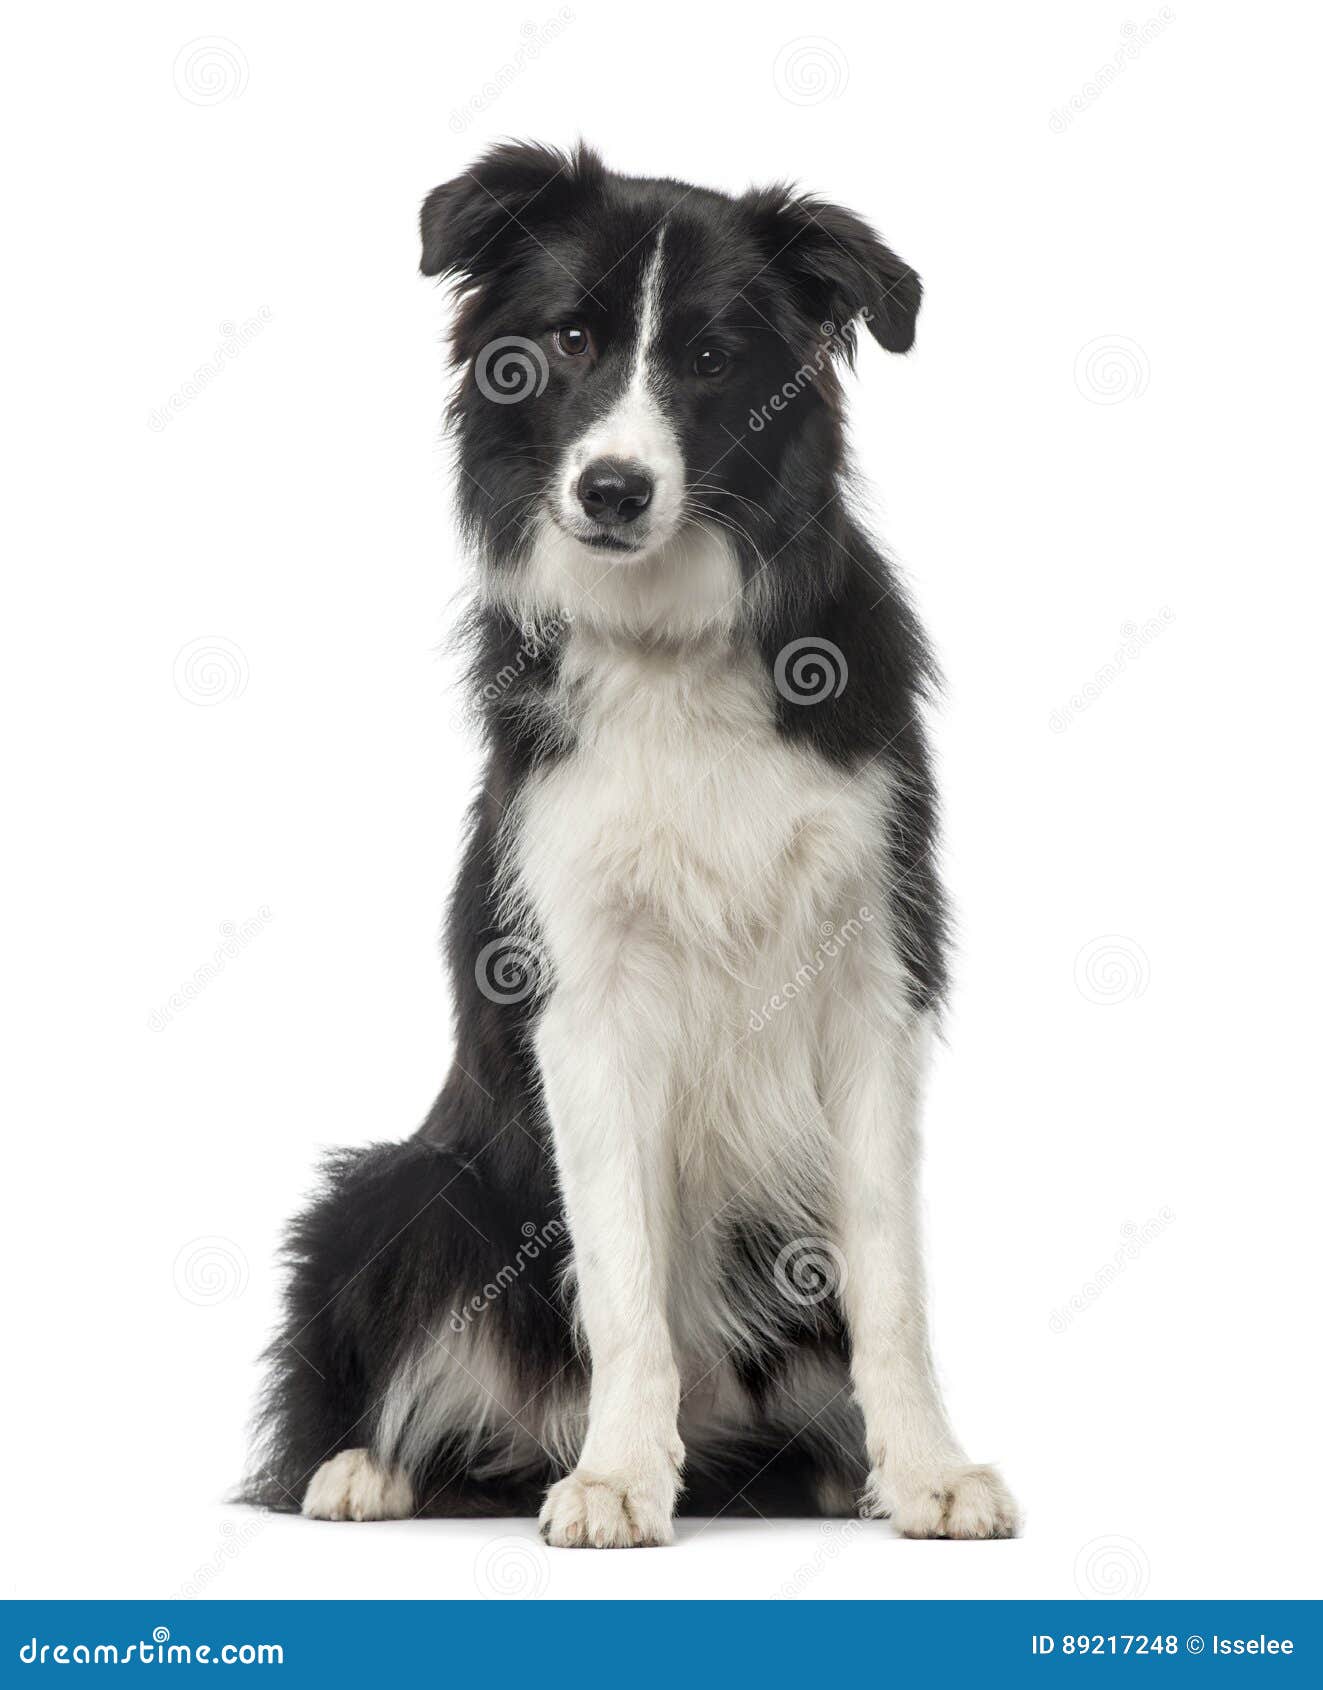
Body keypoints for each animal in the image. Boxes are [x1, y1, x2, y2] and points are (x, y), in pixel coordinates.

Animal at [239, 141, 1027, 1548]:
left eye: (712, 358)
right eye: (564, 341)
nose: (613, 489)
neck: (669, 649)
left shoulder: (870, 973)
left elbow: (890, 1272)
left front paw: (930, 1468)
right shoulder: (583, 994)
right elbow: (622, 1273)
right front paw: (614, 1474)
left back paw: (832, 1471)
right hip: (401, 1190)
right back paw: (370, 1470)